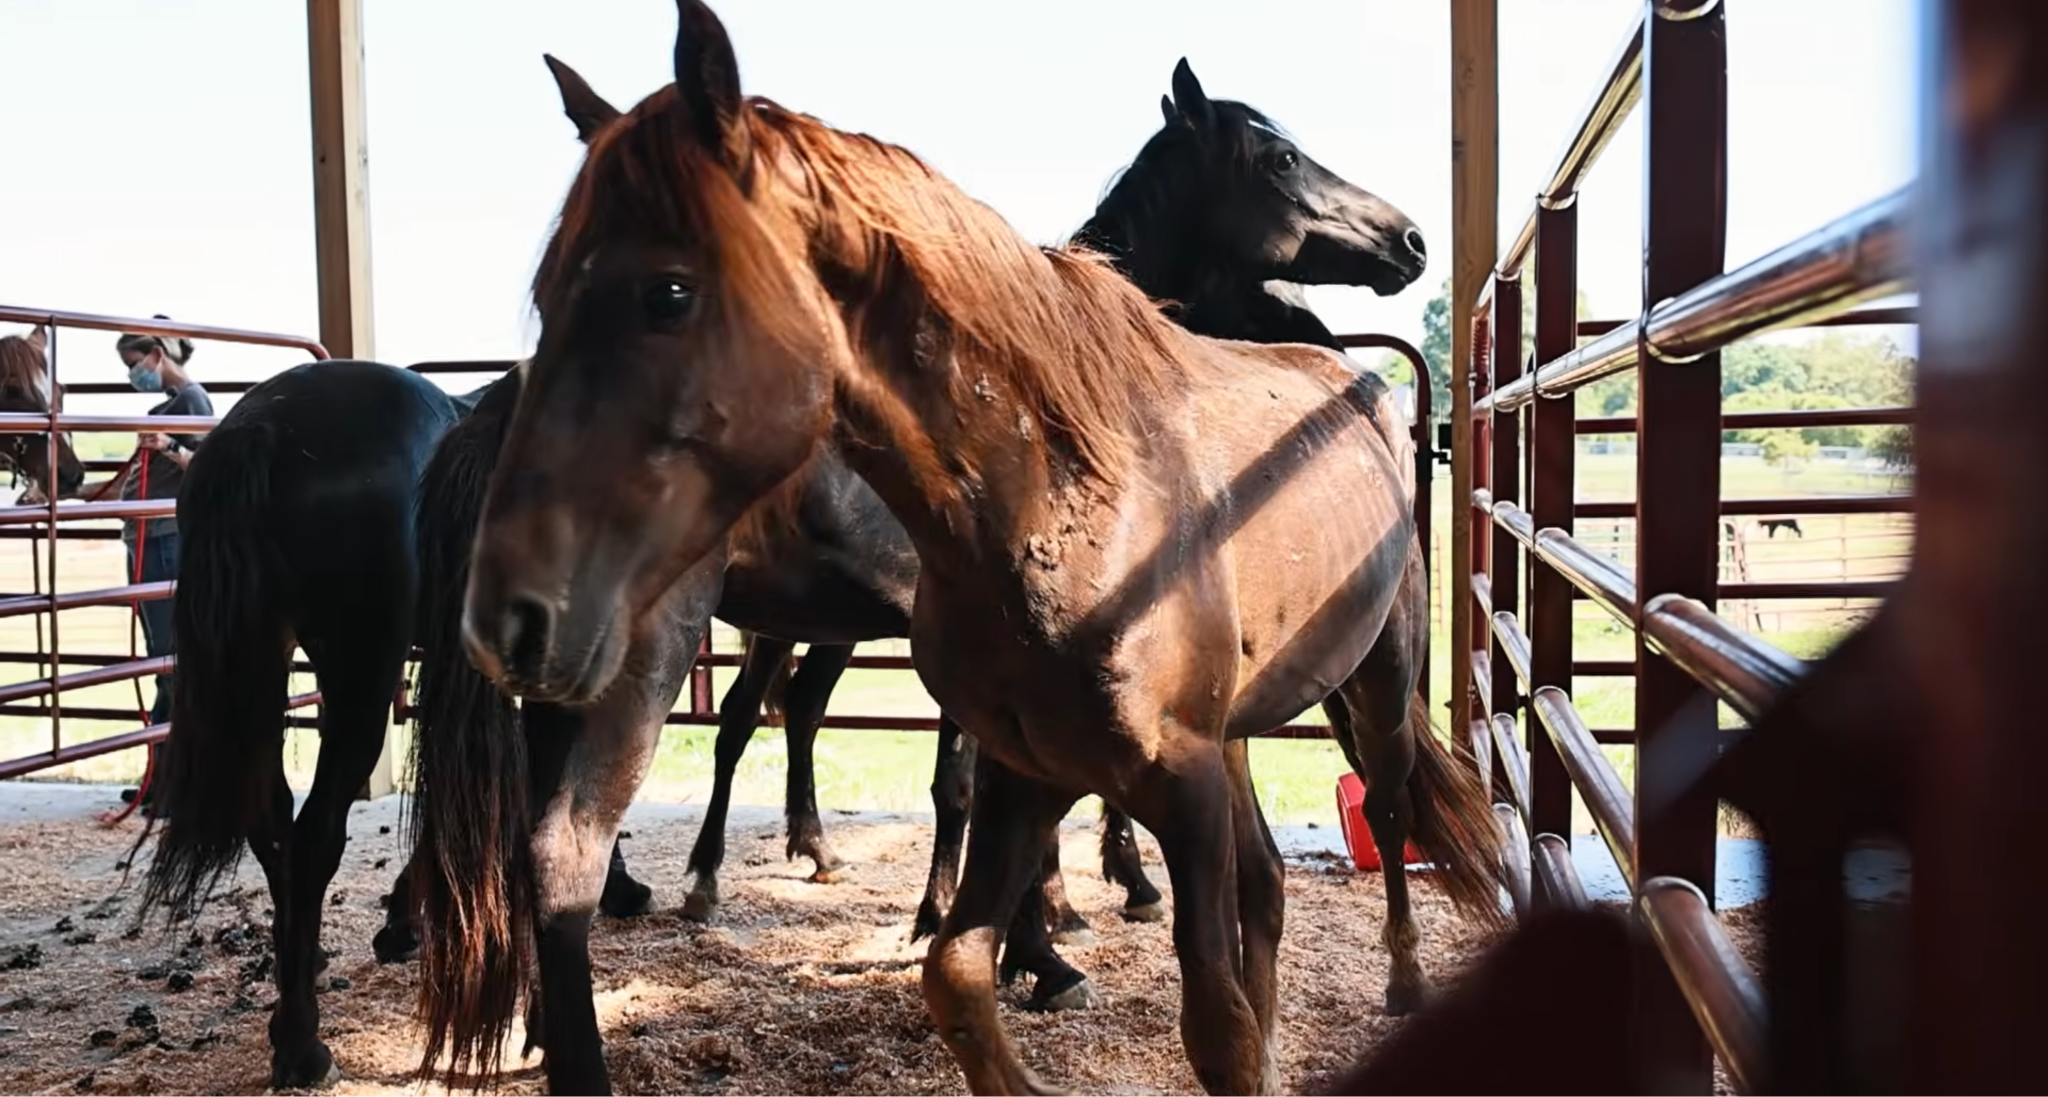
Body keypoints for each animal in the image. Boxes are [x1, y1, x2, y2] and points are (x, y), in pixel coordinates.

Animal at [453, 5, 1506, 1096]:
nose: (1408, 241)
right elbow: (969, 948)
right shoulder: (1039, 763)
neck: (1073, 497)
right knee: (590, 832)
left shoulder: (1147, 768)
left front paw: (1050, 936)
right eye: (1280, 157)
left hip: (1366, 684)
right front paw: (1050, 938)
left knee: (1377, 813)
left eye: (665, 290)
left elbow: (1152, 986)